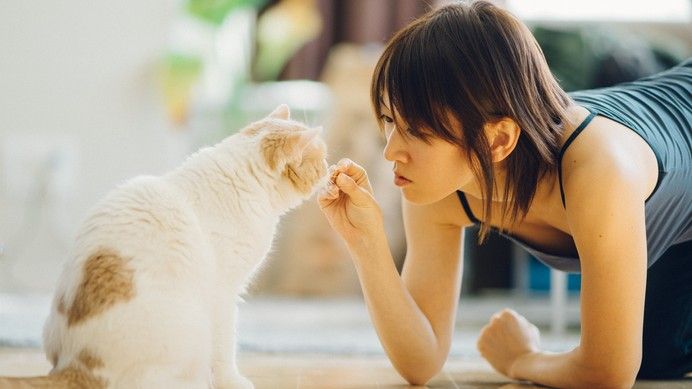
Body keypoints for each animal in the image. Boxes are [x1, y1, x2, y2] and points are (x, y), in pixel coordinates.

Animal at [0, 104, 328, 388]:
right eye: (321, 160)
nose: (330, 167)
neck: (243, 177)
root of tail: (76, 363)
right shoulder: (224, 295)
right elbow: (225, 349)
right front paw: (232, 382)